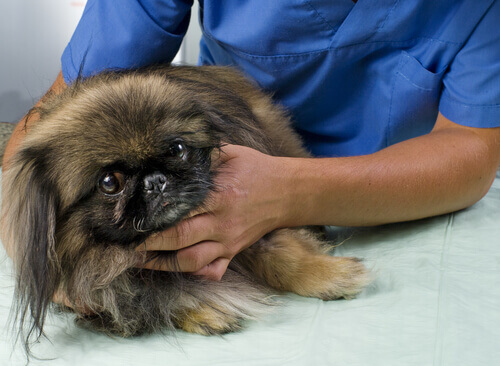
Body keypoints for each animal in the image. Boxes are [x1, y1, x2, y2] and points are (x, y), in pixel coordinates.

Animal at [0, 64, 372, 348]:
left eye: (177, 149)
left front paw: (331, 275)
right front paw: (202, 310)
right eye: (109, 183)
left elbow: (283, 257)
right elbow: (152, 299)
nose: (155, 180)